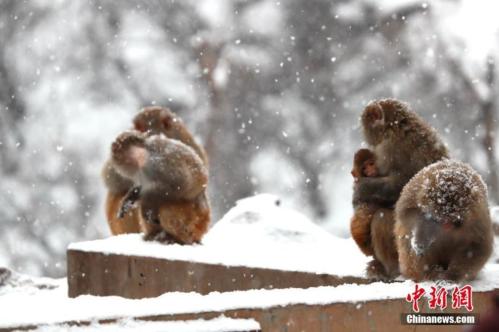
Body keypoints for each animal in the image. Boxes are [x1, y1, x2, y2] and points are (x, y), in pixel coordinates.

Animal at [352, 98, 450, 280]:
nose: (367, 138)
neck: (395, 127)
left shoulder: (390, 150)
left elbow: (399, 187)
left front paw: (361, 188)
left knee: (381, 218)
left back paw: (392, 271)